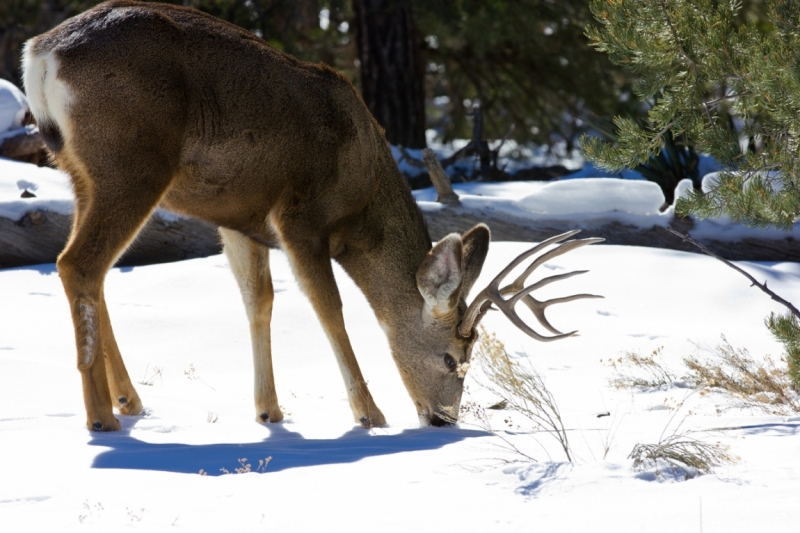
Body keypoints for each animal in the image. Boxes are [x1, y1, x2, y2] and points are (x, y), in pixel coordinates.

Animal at [21, 0, 604, 430]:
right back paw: (101, 417)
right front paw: (370, 413)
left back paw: (129, 400)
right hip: (131, 164)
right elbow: (330, 307)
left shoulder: (241, 217)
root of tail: (40, 53)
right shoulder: (301, 214)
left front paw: (269, 410)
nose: (443, 419)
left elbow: (259, 301)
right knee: (78, 264)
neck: (362, 198)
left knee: (92, 272)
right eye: (450, 358)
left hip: (79, 172)